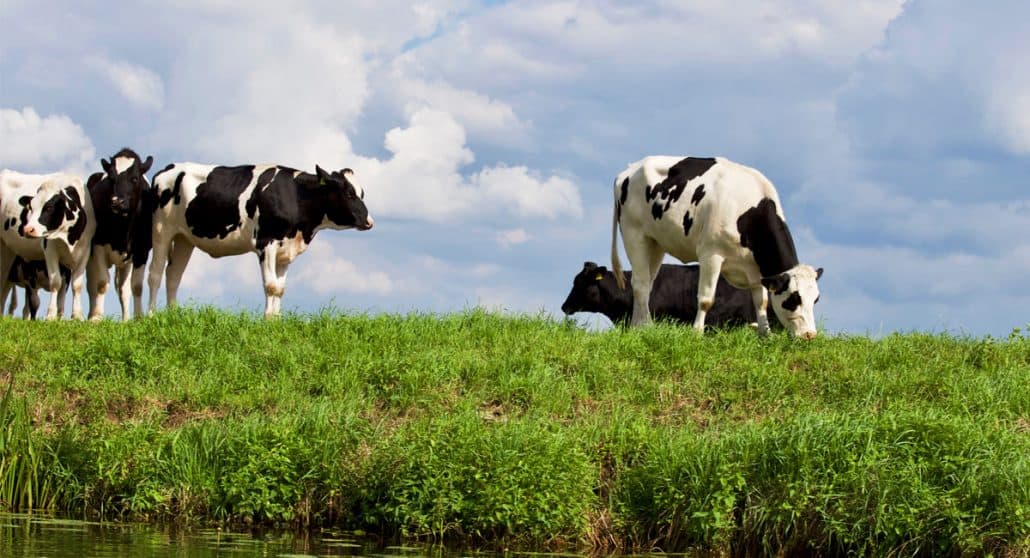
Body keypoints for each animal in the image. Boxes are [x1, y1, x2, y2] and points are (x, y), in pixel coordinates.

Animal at [0, 169, 95, 319]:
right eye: (30, 207)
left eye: (49, 207)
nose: (27, 229)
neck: (69, 237)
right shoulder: (49, 250)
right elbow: (55, 282)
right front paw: (51, 315)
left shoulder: (85, 250)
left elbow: (77, 285)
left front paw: (77, 316)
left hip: (8, 251)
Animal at [87, 148, 154, 321]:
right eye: (111, 178)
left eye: (135, 178)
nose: (117, 202)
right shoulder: (98, 245)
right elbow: (101, 283)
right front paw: (97, 318)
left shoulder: (142, 251)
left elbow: (136, 286)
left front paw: (138, 317)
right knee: (91, 286)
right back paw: (89, 315)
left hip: (125, 263)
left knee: (123, 289)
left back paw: (125, 319)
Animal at [150, 163, 376, 317]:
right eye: (349, 193)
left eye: (362, 193)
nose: (369, 222)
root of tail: (168, 168)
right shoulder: (266, 243)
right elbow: (271, 286)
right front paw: (267, 320)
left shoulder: (285, 251)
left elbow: (280, 289)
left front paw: (276, 320)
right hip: (162, 230)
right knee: (155, 274)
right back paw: (150, 316)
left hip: (183, 238)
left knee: (173, 275)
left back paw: (172, 315)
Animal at [609, 157, 819, 341]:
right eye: (794, 299)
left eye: (815, 299)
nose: (809, 335)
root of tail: (629, 170)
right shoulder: (711, 255)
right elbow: (706, 299)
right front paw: (697, 333)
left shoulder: (755, 270)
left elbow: (762, 302)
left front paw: (765, 334)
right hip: (634, 234)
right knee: (640, 284)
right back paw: (646, 326)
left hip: (655, 242)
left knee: (647, 282)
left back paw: (639, 327)